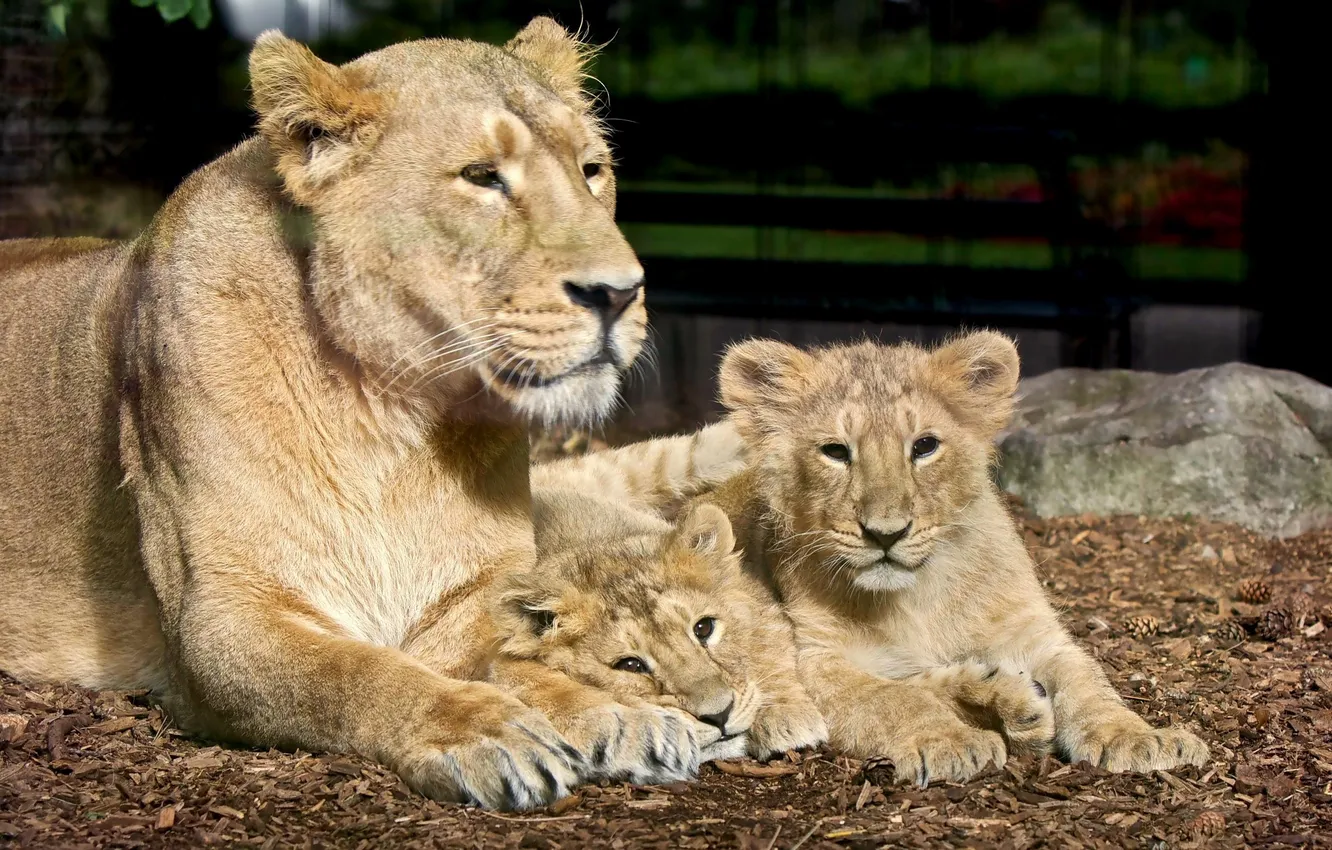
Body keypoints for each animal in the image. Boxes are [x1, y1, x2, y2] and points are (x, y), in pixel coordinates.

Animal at [0, 19, 716, 810]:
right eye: (481, 177)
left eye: (592, 169)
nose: (619, 293)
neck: (392, 414)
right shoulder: (221, 614)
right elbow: (361, 672)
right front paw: (488, 731)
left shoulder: (479, 593)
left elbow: (520, 660)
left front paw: (620, 716)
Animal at [484, 424, 826, 776]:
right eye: (630, 665)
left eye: (704, 629)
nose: (719, 716)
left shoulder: (756, 594)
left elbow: (768, 645)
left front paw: (785, 713)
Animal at [687, 332, 1209, 784]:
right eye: (835, 451)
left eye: (924, 446)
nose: (885, 534)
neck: (916, 597)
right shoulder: (815, 658)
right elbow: (891, 698)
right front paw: (948, 741)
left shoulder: (1033, 632)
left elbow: (1088, 680)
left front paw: (1141, 737)